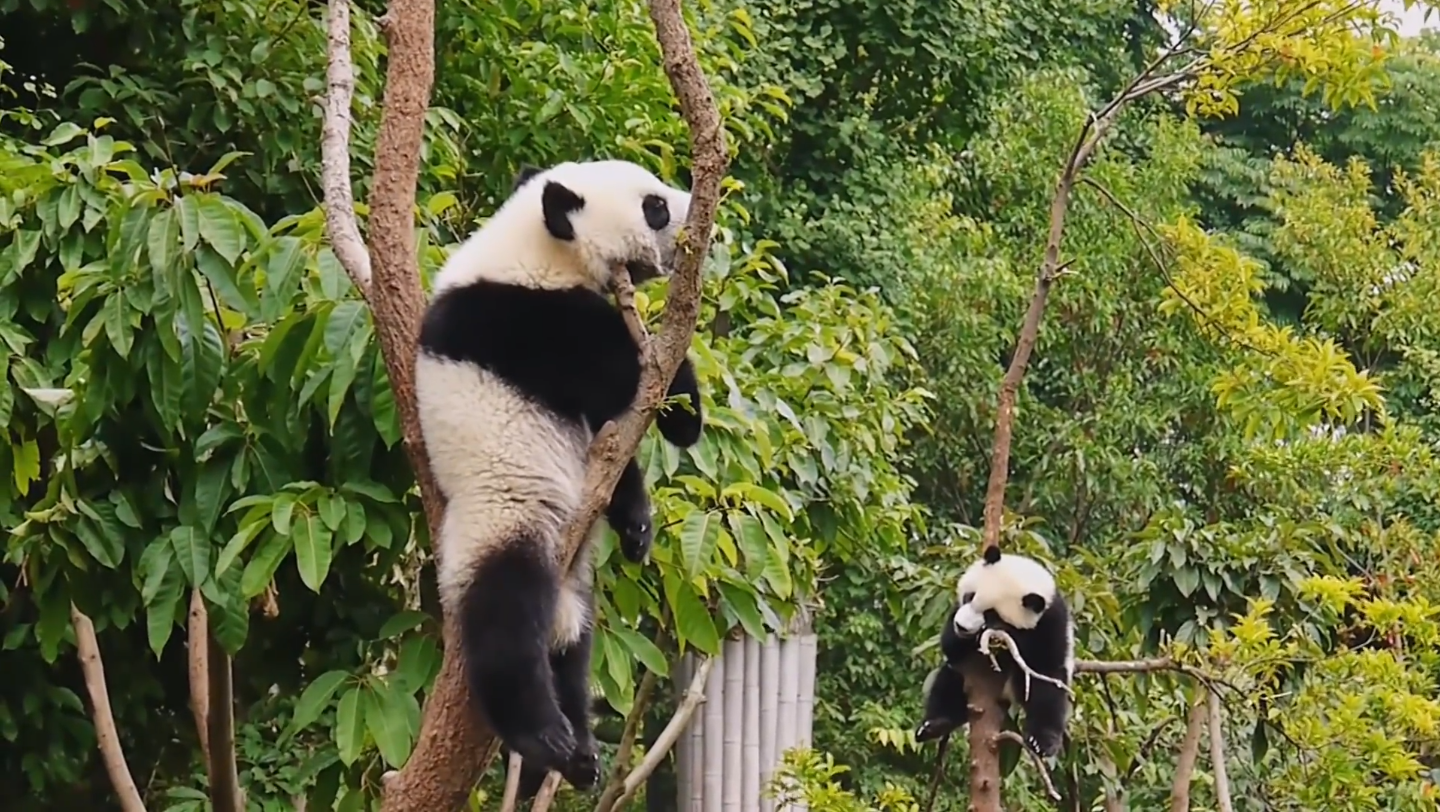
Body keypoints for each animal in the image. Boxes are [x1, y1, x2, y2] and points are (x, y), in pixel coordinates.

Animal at [414, 156, 705, 788]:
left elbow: (611, 442)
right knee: (505, 620)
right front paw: (682, 400)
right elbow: (622, 373)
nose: (696, 220)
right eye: (655, 206)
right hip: (502, 513)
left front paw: (637, 526)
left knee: (574, 649)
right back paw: (543, 735)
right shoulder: (524, 318)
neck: (536, 246)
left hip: (575, 584)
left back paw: (581, 751)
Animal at [915, 544, 1077, 760]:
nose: (961, 626)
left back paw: (1041, 742)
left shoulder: (1050, 625)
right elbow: (950, 644)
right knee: (949, 682)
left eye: (991, 614)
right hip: (963, 672)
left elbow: (1044, 672)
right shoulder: (956, 613)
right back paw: (935, 724)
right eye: (970, 596)